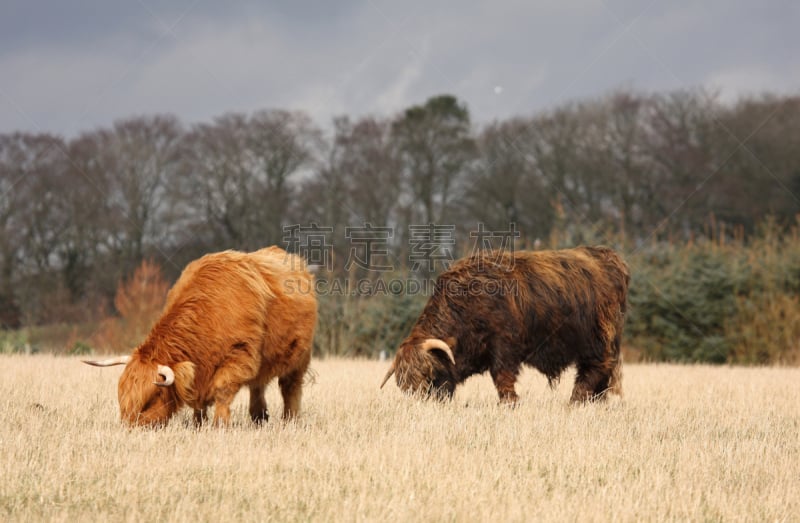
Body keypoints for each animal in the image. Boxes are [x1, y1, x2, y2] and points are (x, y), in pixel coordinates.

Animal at [382, 247, 632, 406]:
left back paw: (576, 400)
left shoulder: (504, 346)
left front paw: (510, 402)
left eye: (428, 373)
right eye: (404, 386)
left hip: (598, 340)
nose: (422, 404)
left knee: (595, 368)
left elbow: (502, 376)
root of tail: (608, 256)